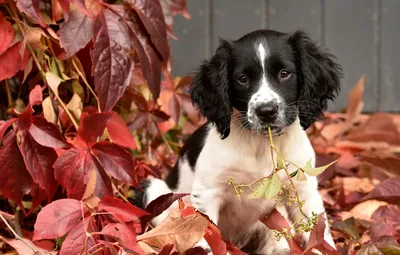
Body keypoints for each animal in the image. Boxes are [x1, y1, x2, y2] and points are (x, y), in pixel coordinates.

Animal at [139, 29, 342, 253]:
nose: (266, 111)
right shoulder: (208, 192)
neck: (261, 143)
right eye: (242, 79)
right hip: (154, 190)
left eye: (284, 73)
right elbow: (206, 235)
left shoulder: (303, 190)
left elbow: (320, 237)